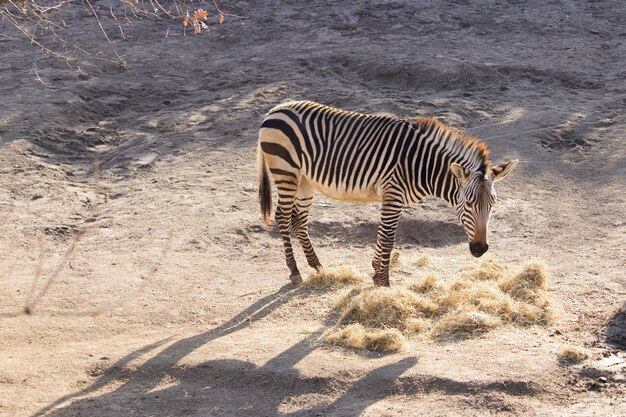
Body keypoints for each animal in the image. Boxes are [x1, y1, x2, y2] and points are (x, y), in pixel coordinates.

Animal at [256, 101, 516, 286]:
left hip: (305, 180)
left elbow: (382, 234)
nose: (480, 249)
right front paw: (384, 281)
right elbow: (388, 238)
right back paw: (294, 271)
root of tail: (274, 110)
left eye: (493, 203)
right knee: (282, 217)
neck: (422, 165)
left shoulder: (392, 198)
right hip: (286, 172)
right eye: (469, 203)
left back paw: (317, 265)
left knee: (298, 219)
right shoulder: (393, 194)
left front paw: (375, 271)